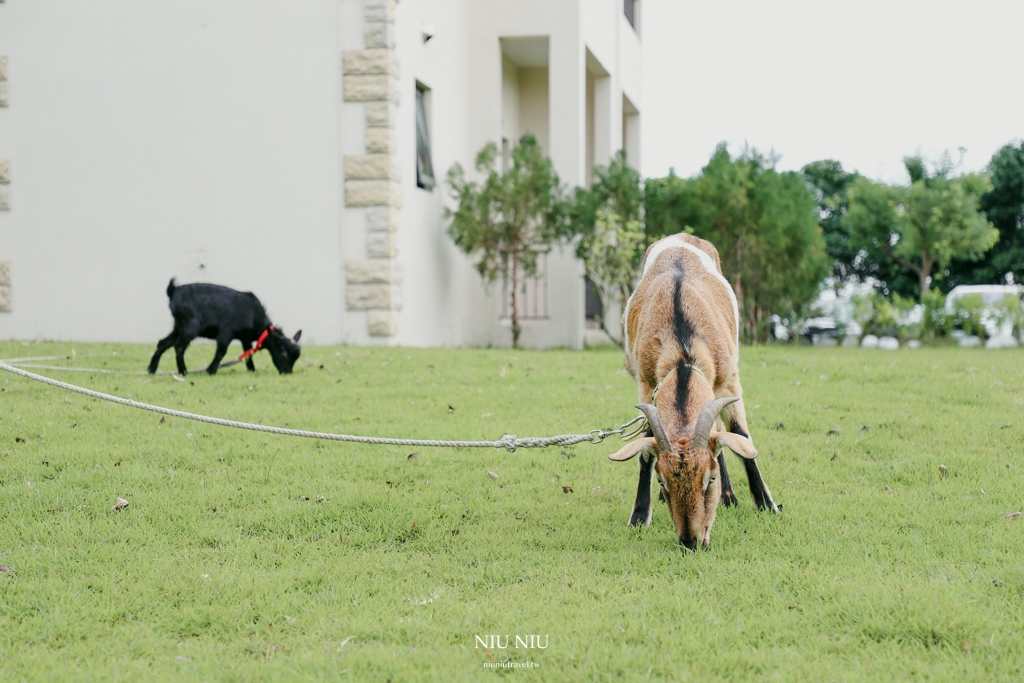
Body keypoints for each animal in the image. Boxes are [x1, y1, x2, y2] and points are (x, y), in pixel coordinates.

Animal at [146, 278, 301, 376]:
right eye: (284, 353)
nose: (287, 372)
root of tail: (173, 291)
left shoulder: (245, 338)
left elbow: (247, 353)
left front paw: (251, 369)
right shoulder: (227, 332)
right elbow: (221, 351)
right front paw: (211, 370)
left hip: (179, 326)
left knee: (163, 343)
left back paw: (151, 369)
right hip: (191, 325)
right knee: (179, 346)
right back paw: (183, 371)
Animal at [606, 235, 774, 548]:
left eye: (710, 479)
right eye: (662, 481)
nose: (690, 541)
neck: (683, 352)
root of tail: (681, 237)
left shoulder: (728, 380)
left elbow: (741, 437)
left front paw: (766, 504)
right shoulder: (647, 384)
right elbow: (646, 450)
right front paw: (639, 517)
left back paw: (731, 498)